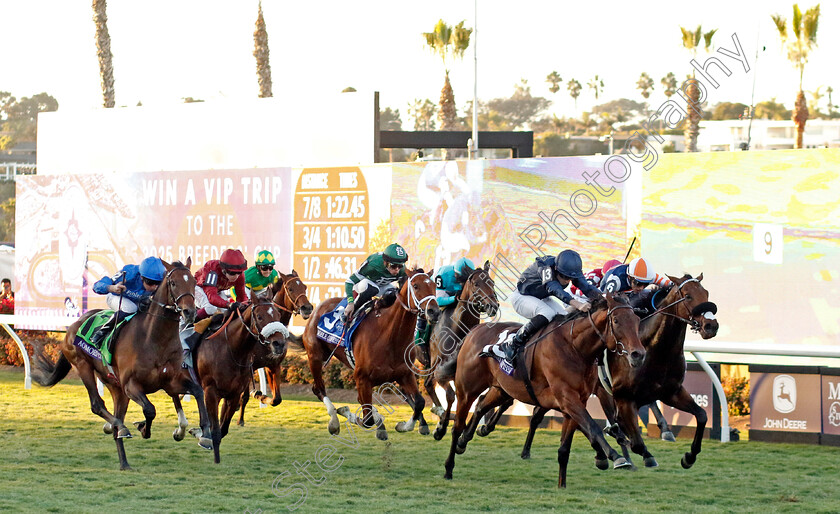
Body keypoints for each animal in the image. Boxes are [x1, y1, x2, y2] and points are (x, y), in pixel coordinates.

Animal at [32, 260, 213, 468]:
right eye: (173, 283)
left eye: (193, 282)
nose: (189, 312)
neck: (155, 339)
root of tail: (76, 323)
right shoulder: (131, 385)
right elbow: (150, 409)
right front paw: (142, 427)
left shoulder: (170, 382)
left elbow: (198, 391)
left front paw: (205, 435)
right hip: (84, 366)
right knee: (97, 405)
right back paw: (119, 427)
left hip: (116, 387)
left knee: (117, 418)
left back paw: (124, 462)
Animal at [176, 288, 290, 460]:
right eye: (259, 316)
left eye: (277, 314)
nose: (279, 344)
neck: (232, 349)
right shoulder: (210, 390)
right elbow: (215, 428)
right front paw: (205, 438)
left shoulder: (234, 392)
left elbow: (223, 428)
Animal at [236, 268, 316, 424]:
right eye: (290, 289)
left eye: (304, 287)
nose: (307, 308)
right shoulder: (247, 366)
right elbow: (244, 395)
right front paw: (240, 419)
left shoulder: (273, 364)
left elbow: (276, 399)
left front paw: (259, 395)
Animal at [298, 266, 440, 438]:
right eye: (416, 286)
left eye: (434, 286)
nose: (434, 312)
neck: (389, 336)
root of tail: (317, 309)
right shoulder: (362, 378)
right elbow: (366, 420)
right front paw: (347, 412)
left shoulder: (404, 374)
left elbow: (419, 402)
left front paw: (404, 426)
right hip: (315, 357)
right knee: (319, 388)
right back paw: (334, 422)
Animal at [442, 292, 648, 484]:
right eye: (616, 320)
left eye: (637, 320)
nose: (638, 354)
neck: (575, 347)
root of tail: (474, 330)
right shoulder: (567, 398)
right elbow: (592, 427)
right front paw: (616, 456)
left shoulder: (576, 400)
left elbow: (570, 442)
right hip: (466, 390)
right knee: (457, 425)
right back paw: (448, 467)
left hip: (501, 389)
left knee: (481, 405)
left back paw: (464, 441)